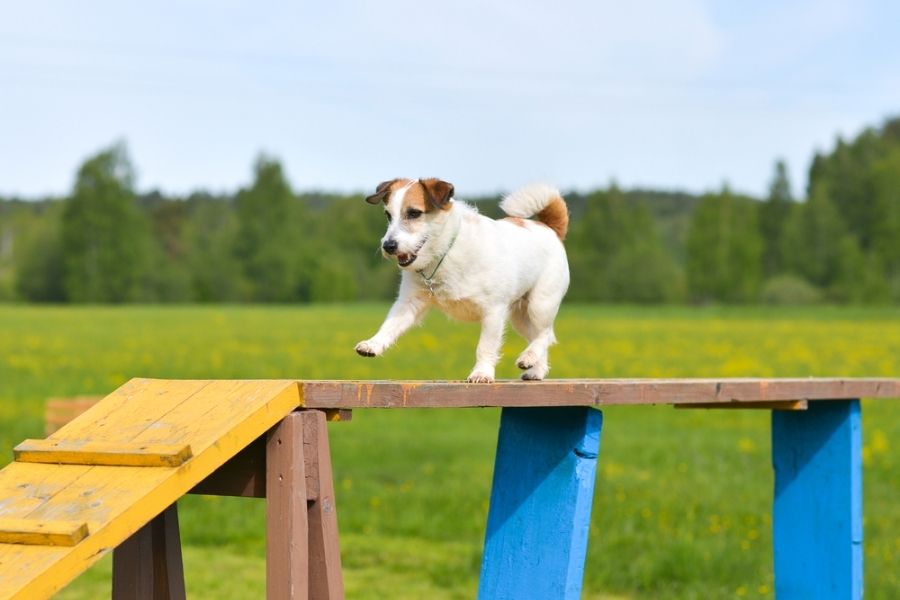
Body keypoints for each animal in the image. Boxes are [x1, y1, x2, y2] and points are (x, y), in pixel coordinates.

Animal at [354, 179, 568, 384]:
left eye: (414, 213)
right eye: (388, 215)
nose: (388, 246)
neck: (445, 251)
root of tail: (549, 228)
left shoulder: (493, 311)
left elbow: (485, 346)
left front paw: (482, 373)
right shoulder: (408, 303)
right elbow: (389, 325)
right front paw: (373, 344)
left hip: (540, 305)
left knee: (544, 334)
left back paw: (528, 356)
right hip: (520, 316)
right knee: (541, 337)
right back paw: (535, 370)